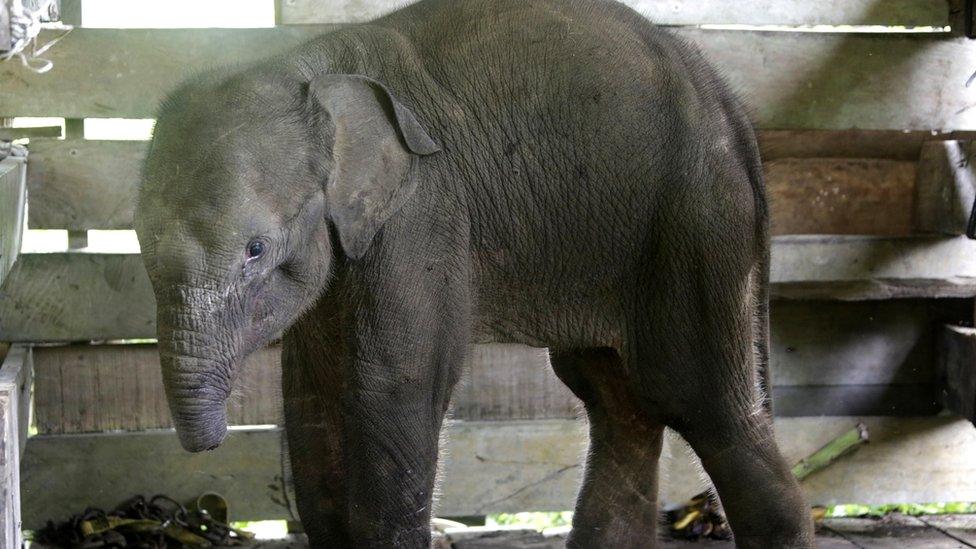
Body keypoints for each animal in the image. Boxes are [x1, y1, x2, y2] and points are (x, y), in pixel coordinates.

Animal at [133, 0, 812, 544]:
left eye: (255, 249)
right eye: (139, 240)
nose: (207, 485)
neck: (310, 68)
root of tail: (729, 104)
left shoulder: (424, 212)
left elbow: (393, 383)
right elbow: (311, 393)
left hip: (699, 223)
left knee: (701, 400)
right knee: (616, 399)